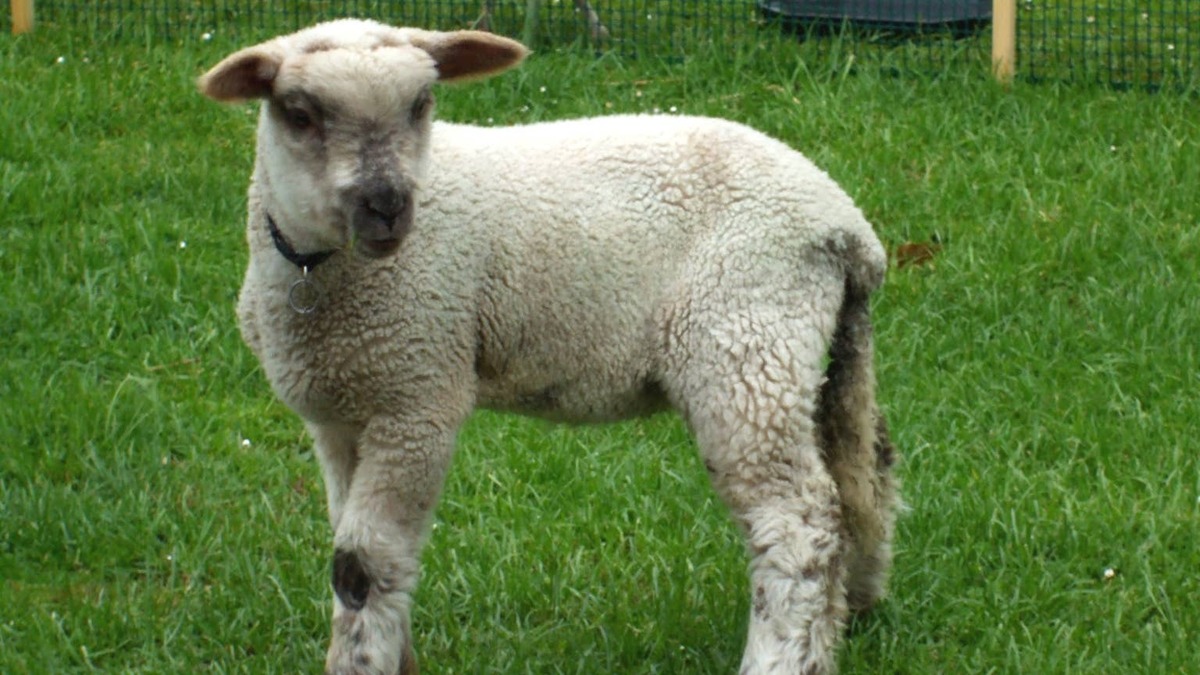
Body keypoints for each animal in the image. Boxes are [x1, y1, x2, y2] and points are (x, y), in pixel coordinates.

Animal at [199, 18, 899, 675]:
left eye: (422, 103)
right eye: (299, 114)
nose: (388, 206)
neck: (319, 276)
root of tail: (847, 226)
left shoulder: (418, 396)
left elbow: (361, 566)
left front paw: (361, 662)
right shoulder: (340, 413)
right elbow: (353, 550)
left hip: (743, 342)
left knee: (799, 522)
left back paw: (782, 654)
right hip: (812, 350)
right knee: (862, 479)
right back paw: (851, 613)